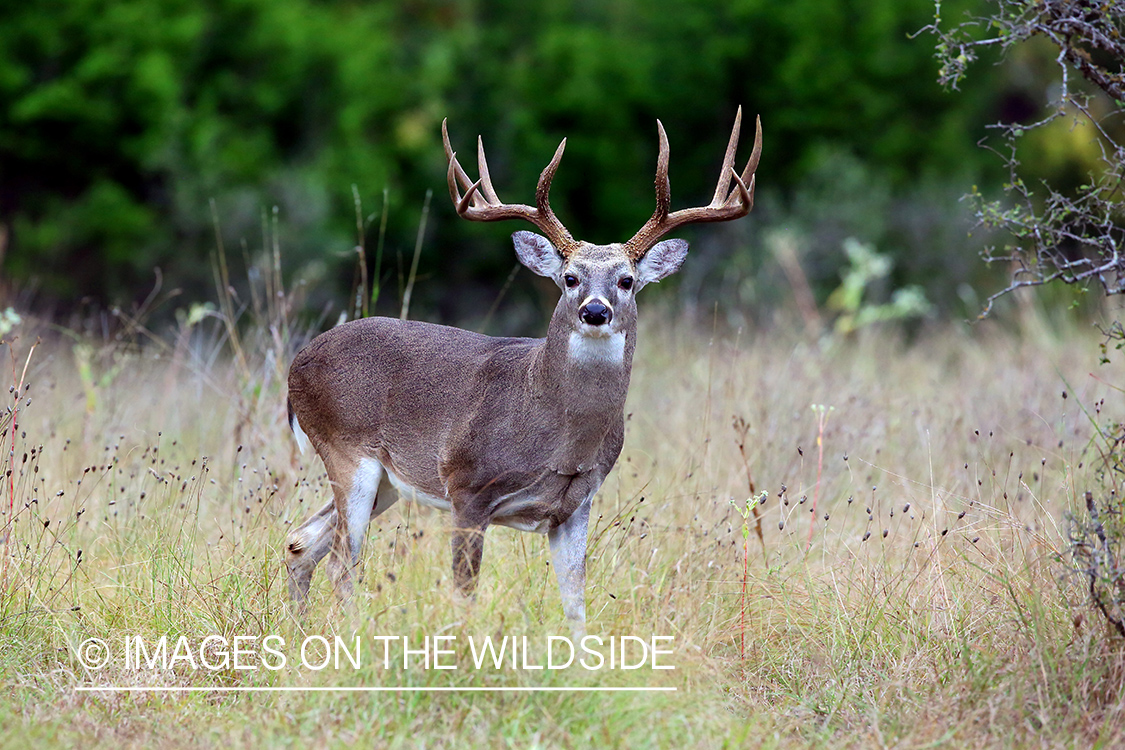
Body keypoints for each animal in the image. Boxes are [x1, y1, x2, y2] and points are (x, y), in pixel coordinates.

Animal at [281, 108, 760, 629]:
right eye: (569, 278)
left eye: (626, 280)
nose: (595, 311)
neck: (555, 435)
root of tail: (296, 367)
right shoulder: (467, 486)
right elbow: (464, 592)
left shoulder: (576, 505)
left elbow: (576, 605)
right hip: (347, 451)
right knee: (341, 563)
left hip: (387, 480)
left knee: (301, 542)